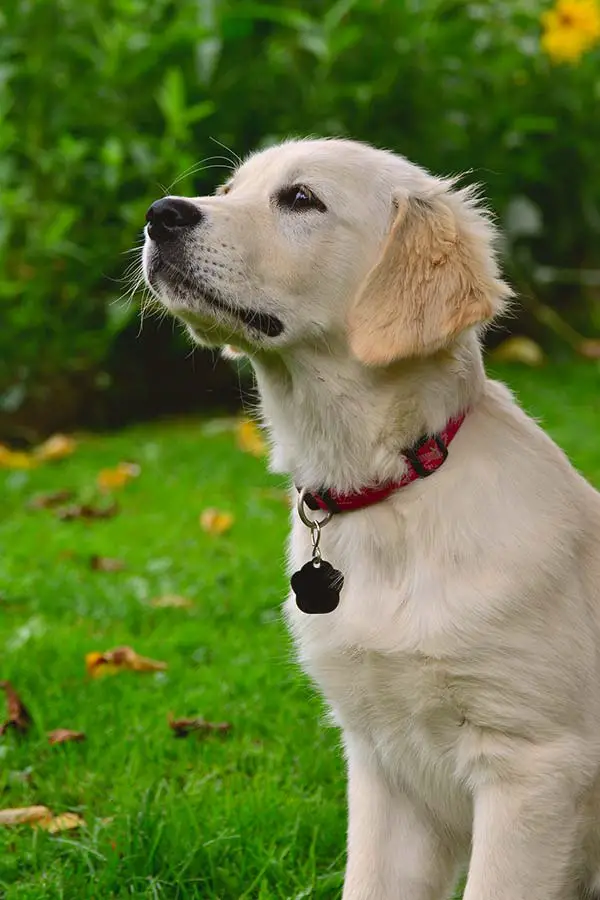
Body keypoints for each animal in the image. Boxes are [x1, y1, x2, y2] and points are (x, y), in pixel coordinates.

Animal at [143, 137, 600, 896]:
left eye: (300, 199)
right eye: (230, 188)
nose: (159, 214)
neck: (391, 488)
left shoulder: (535, 767)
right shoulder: (385, 762)